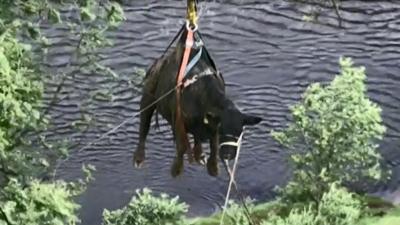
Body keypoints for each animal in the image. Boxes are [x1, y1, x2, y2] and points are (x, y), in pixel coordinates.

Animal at [133, 28, 260, 177]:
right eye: (223, 129)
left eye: (240, 132)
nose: (228, 155)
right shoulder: (179, 121)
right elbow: (182, 146)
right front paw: (177, 168)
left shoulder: (212, 127)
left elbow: (213, 145)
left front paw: (213, 167)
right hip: (147, 99)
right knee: (144, 126)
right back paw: (139, 158)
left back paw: (200, 155)